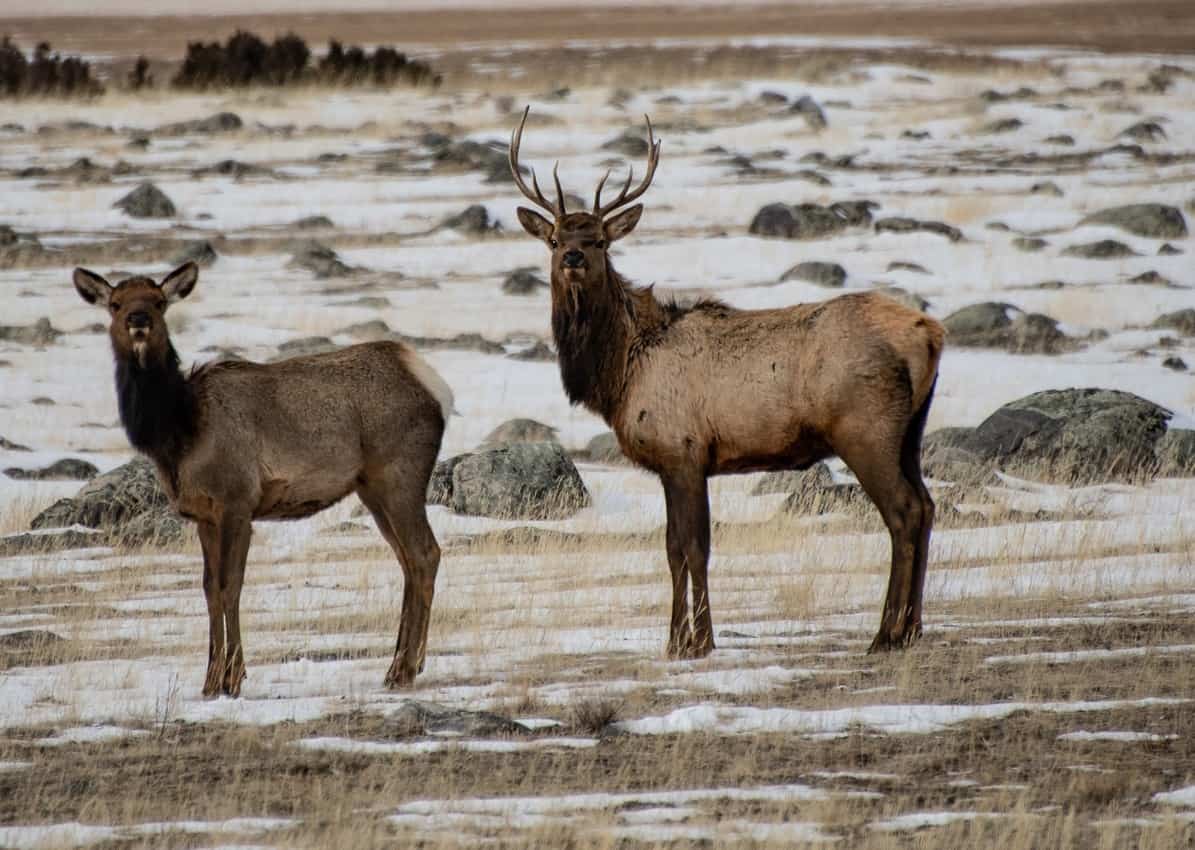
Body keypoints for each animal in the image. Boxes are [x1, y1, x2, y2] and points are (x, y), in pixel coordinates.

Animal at [71, 260, 451, 698]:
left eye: (159, 301)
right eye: (114, 304)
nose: (138, 320)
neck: (179, 431)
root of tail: (436, 387)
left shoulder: (237, 500)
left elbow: (229, 585)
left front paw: (231, 678)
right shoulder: (204, 515)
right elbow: (208, 589)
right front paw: (209, 681)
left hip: (399, 474)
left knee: (425, 553)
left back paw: (405, 669)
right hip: (371, 490)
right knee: (407, 560)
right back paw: (400, 665)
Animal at [509, 106, 946, 659]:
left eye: (600, 240)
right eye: (555, 239)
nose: (573, 258)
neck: (620, 373)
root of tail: (931, 332)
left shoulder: (685, 451)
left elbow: (695, 547)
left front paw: (701, 641)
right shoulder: (671, 463)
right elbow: (672, 548)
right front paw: (674, 640)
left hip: (865, 428)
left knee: (904, 512)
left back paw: (886, 633)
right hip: (911, 430)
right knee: (927, 506)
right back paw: (912, 628)